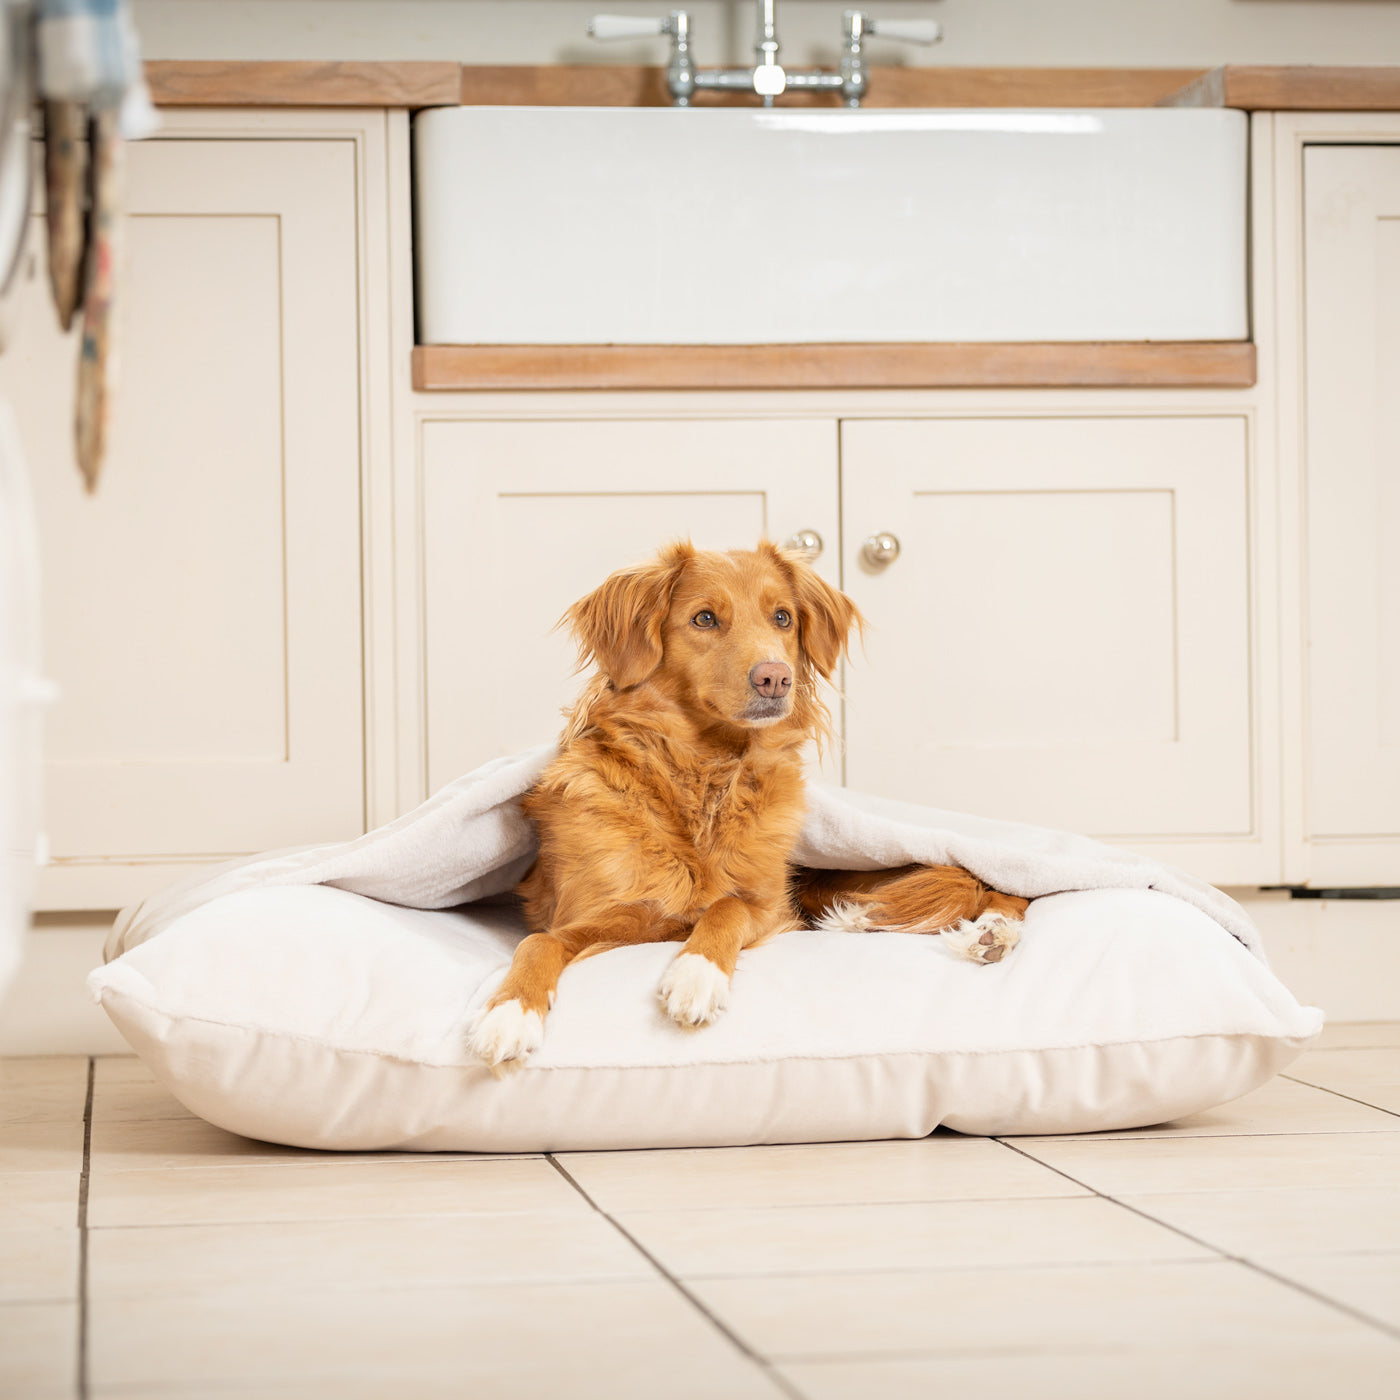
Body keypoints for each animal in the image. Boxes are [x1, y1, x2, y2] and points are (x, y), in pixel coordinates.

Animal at [464, 537, 1024, 1069]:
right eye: (704, 618)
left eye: (783, 617)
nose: (776, 677)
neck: (706, 773)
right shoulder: (605, 913)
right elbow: (538, 942)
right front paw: (509, 1013)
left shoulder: (769, 905)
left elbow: (727, 906)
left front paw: (696, 974)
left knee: (991, 885)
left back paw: (990, 933)